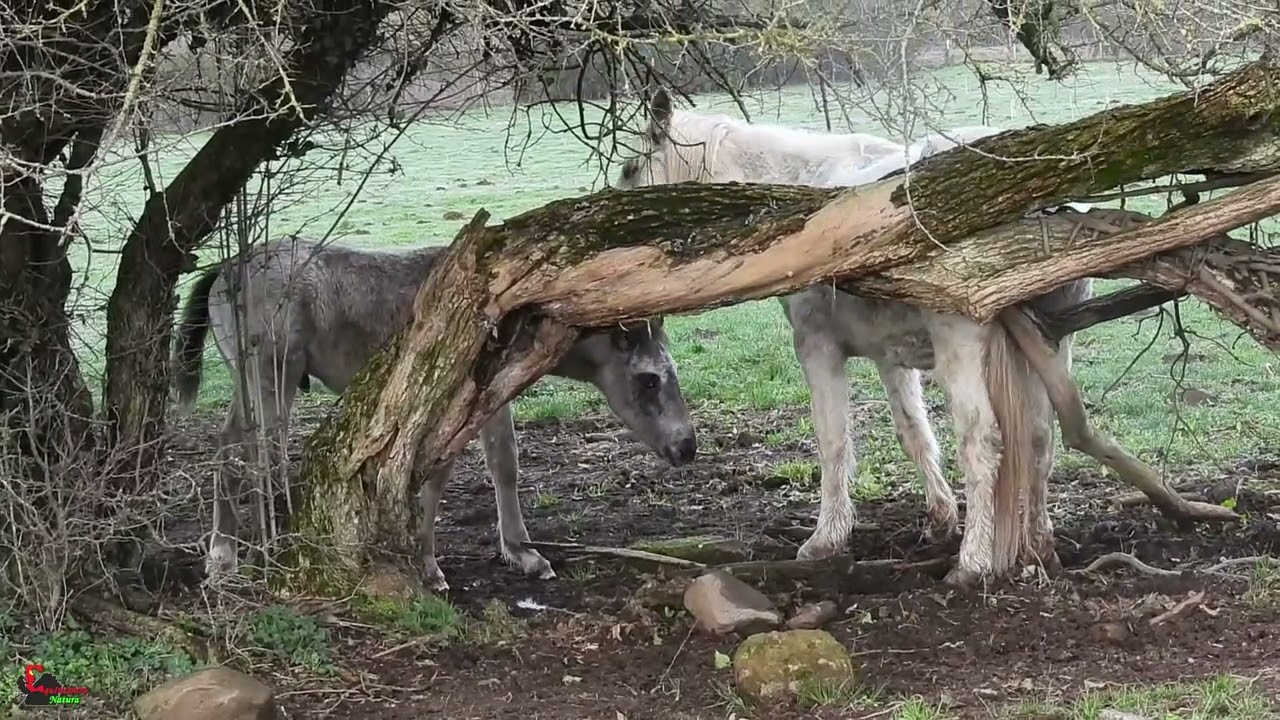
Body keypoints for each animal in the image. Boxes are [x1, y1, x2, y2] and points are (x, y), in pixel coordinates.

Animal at [171, 235, 698, 590]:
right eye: (649, 379)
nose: (687, 446)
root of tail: (222, 270)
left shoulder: (493, 394)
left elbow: (504, 463)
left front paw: (522, 552)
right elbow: (435, 472)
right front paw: (427, 566)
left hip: (252, 380)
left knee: (230, 444)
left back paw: (226, 550)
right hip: (271, 374)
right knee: (253, 452)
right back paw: (244, 550)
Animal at [614, 89, 1091, 587]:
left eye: (630, 167)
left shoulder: (817, 349)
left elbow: (833, 441)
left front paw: (826, 539)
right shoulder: (891, 358)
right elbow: (913, 432)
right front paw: (941, 518)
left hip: (963, 349)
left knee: (982, 441)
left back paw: (973, 562)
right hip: (1047, 345)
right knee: (1039, 440)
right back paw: (1040, 547)